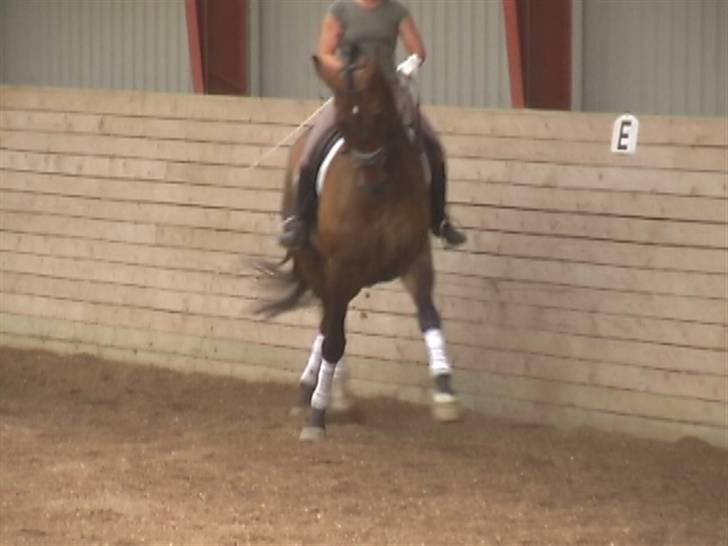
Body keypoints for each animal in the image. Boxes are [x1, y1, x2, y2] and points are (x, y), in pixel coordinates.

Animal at [258, 53, 458, 440]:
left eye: (380, 115)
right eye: (342, 123)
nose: (373, 181)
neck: (377, 197)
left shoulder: (414, 258)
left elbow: (428, 315)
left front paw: (444, 391)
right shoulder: (341, 265)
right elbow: (334, 339)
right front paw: (317, 418)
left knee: (327, 323)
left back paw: (324, 392)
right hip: (318, 263)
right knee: (328, 323)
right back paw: (320, 394)